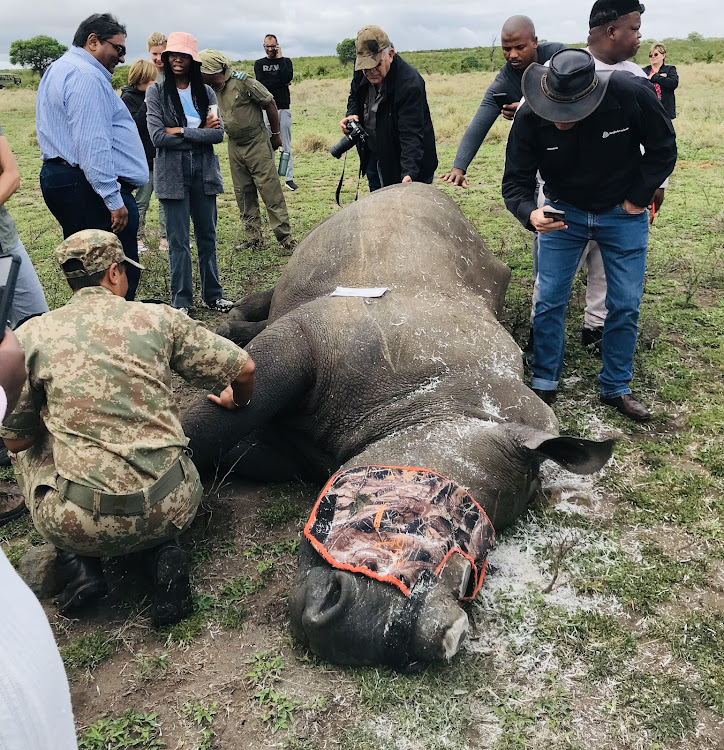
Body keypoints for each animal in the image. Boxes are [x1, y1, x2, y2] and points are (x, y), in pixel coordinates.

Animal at [184, 185, 612, 672]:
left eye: (472, 578)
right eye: (432, 509)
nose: (377, 632)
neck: (438, 401)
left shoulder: (294, 450)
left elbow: (214, 446)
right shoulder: (307, 338)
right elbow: (206, 426)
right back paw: (225, 324)